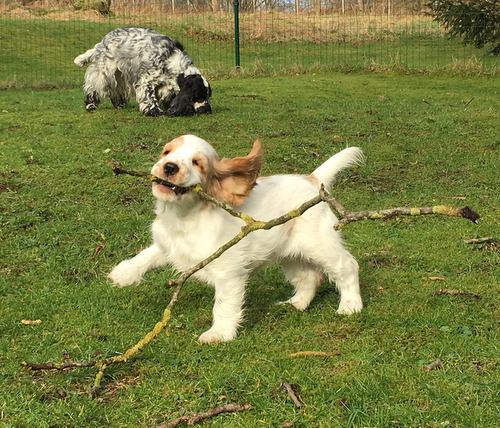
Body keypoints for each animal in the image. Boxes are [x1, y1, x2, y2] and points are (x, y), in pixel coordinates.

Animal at [73, 27, 211, 116]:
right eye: (199, 96)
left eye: (208, 96)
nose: (207, 110)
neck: (171, 60)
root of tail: (102, 42)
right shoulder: (146, 79)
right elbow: (149, 96)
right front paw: (154, 111)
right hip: (105, 72)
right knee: (93, 88)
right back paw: (90, 105)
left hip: (120, 75)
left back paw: (120, 105)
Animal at [109, 135, 362, 342]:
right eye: (166, 152)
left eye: (197, 163)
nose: (169, 167)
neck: (184, 216)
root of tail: (312, 180)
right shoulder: (167, 243)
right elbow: (146, 255)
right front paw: (122, 274)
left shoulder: (227, 271)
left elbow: (223, 304)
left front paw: (219, 334)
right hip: (290, 254)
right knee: (309, 277)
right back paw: (295, 304)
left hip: (319, 244)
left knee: (347, 266)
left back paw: (350, 306)